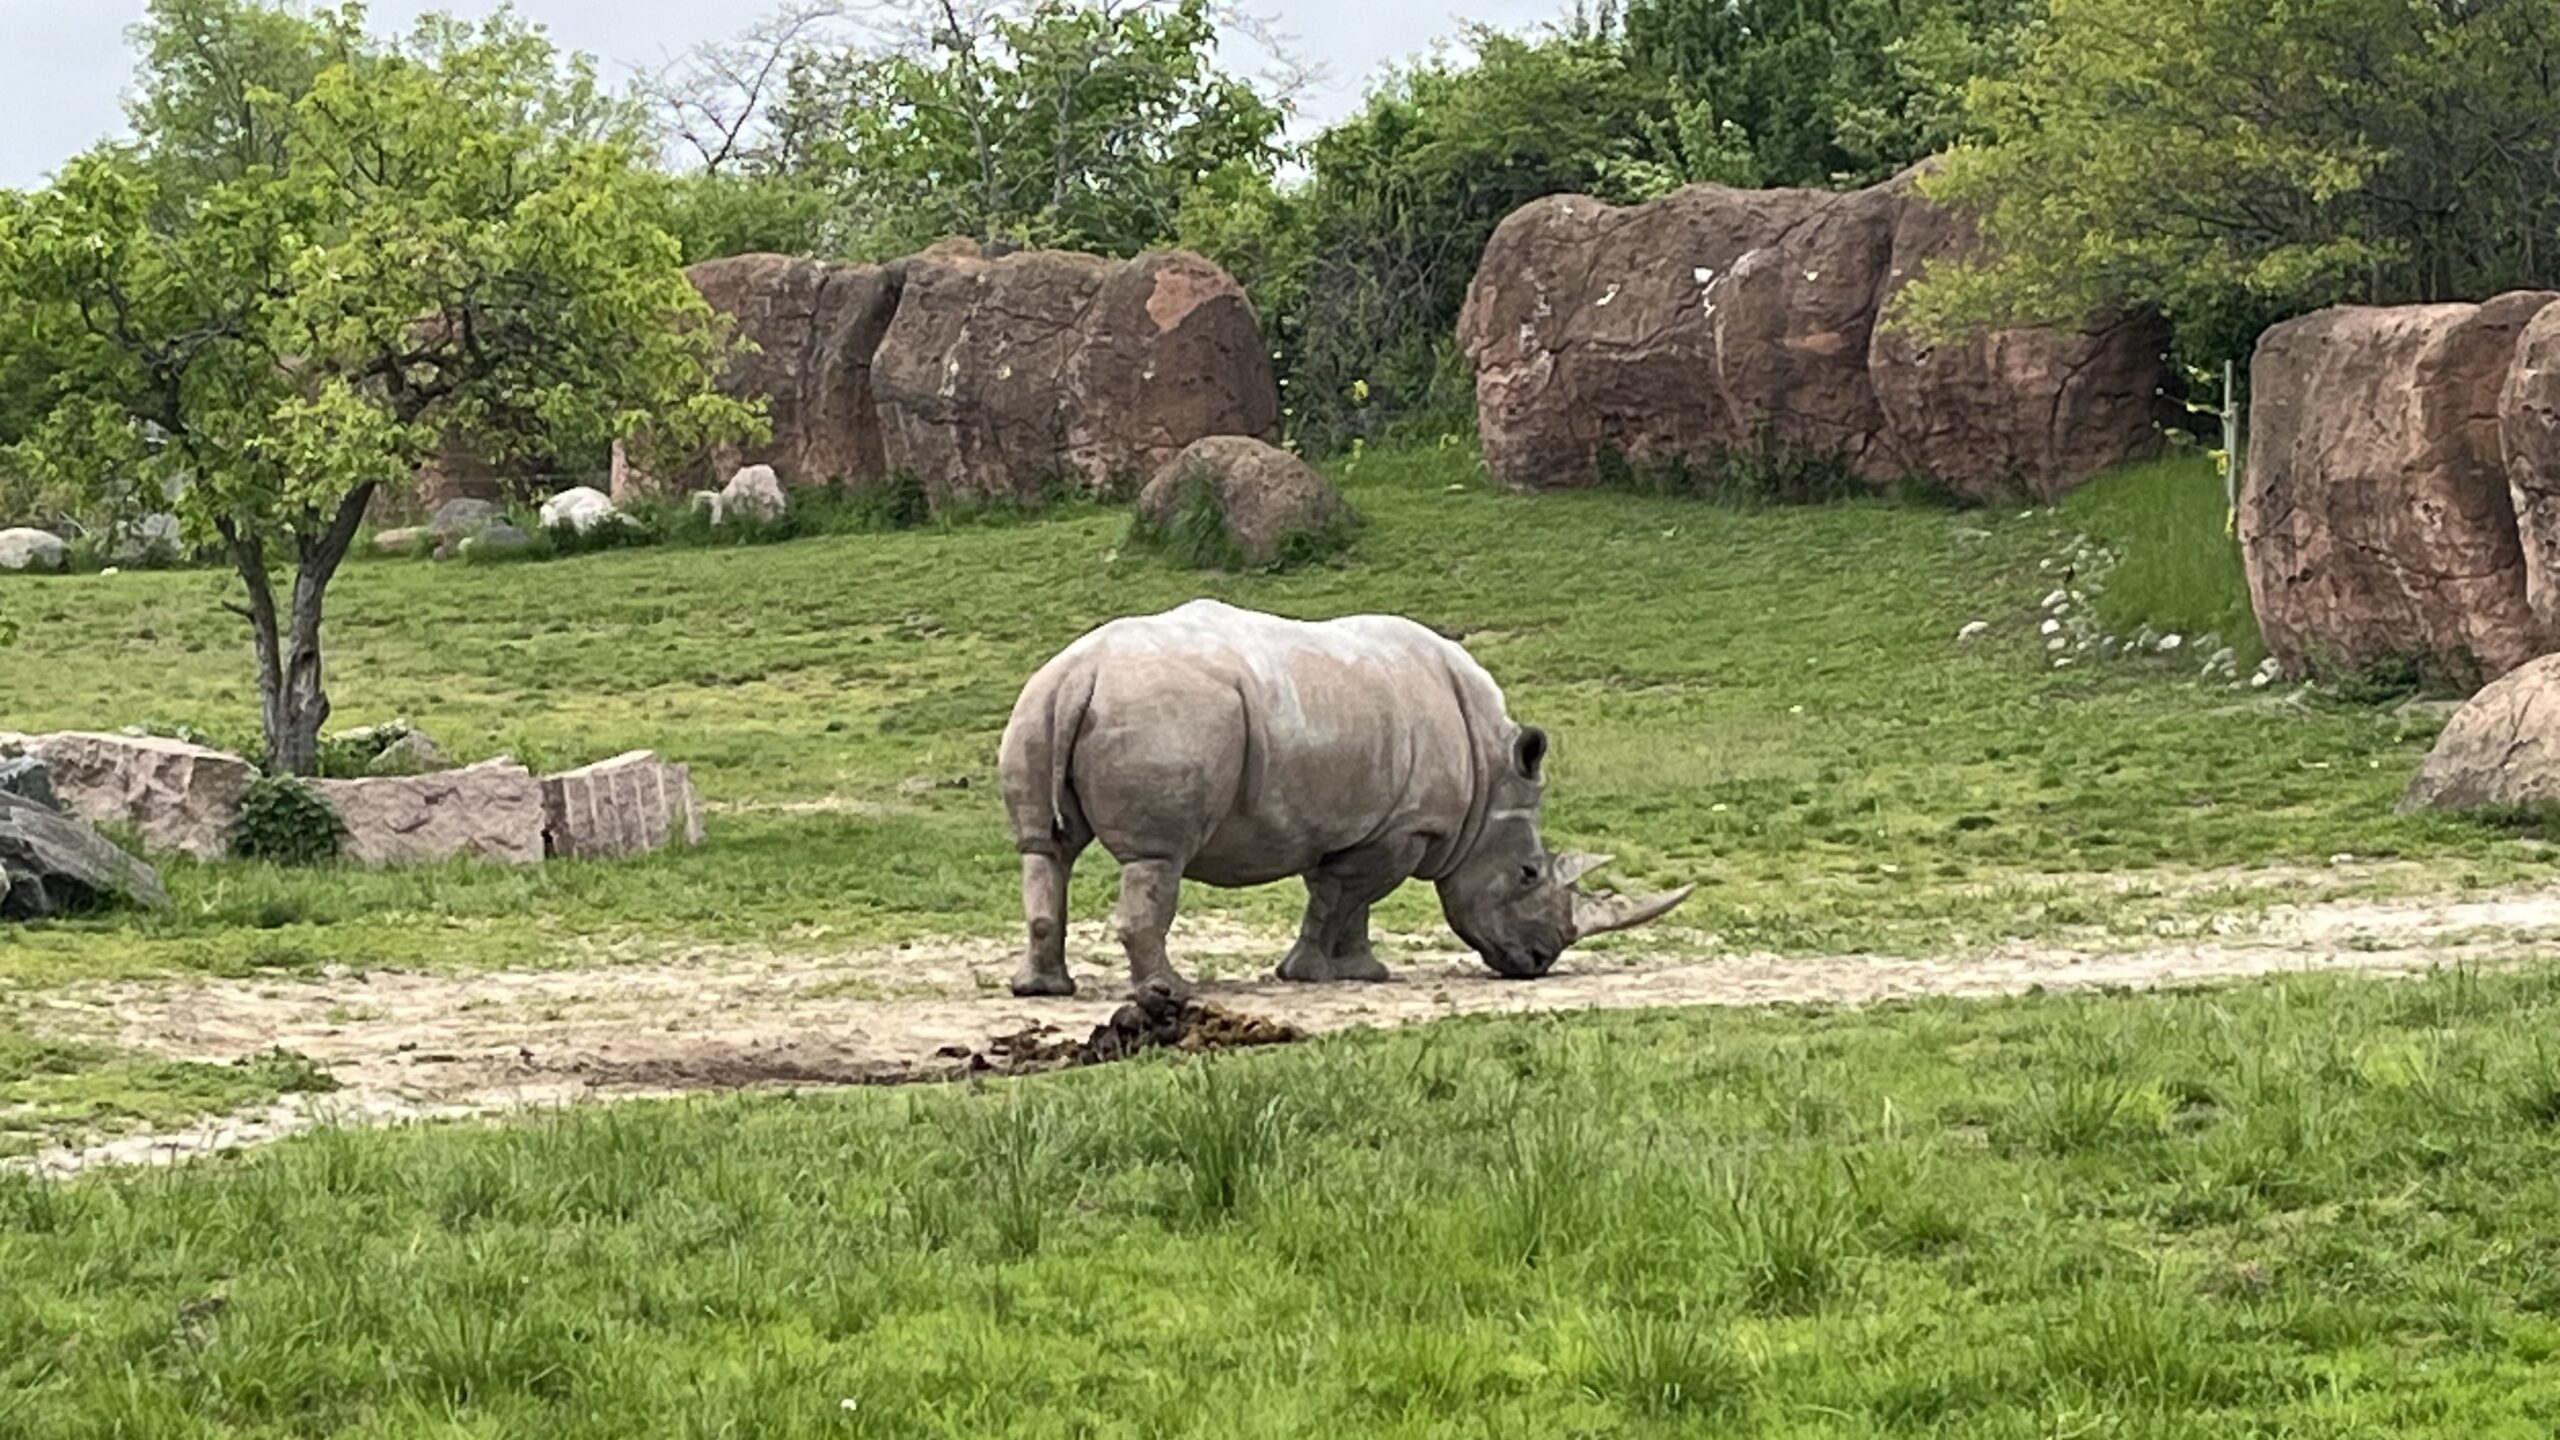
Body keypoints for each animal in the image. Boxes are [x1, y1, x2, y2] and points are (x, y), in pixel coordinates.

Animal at [996, 599, 1693, 998]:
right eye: (1527, 874)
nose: (1538, 961)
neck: (1490, 778)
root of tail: (1084, 674)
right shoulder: (1406, 827)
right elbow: (1347, 896)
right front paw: (1315, 974)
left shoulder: (1347, 820)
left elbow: (1341, 897)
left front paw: (1360, 974)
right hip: (1169, 715)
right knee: (1157, 859)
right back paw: (1170, 995)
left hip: (1039, 701)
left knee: (1045, 850)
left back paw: (1042, 991)